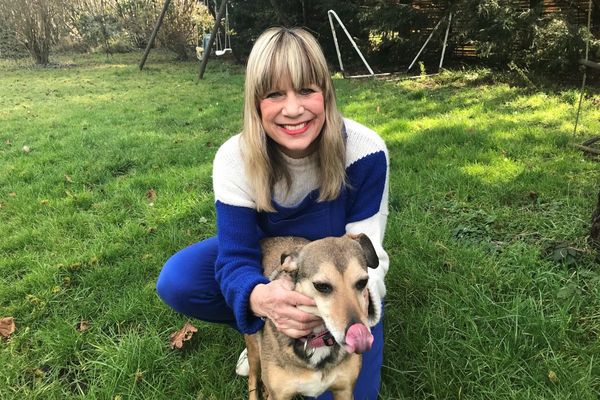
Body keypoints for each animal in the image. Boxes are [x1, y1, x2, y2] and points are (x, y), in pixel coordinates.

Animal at [245, 234, 378, 400]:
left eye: (362, 282)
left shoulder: (345, 390)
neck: (317, 338)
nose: (359, 332)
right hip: (253, 349)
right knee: (252, 378)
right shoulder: (280, 395)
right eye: (322, 286)